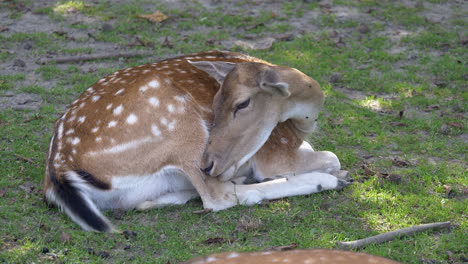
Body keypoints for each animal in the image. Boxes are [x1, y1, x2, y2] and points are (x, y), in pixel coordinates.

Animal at [44, 49, 350, 231]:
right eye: (214, 102)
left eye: (242, 103)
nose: (212, 163)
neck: (302, 125)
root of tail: (59, 173)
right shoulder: (277, 151)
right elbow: (331, 157)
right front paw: (331, 174)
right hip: (182, 125)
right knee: (216, 198)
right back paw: (326, 181)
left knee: (150, 201)